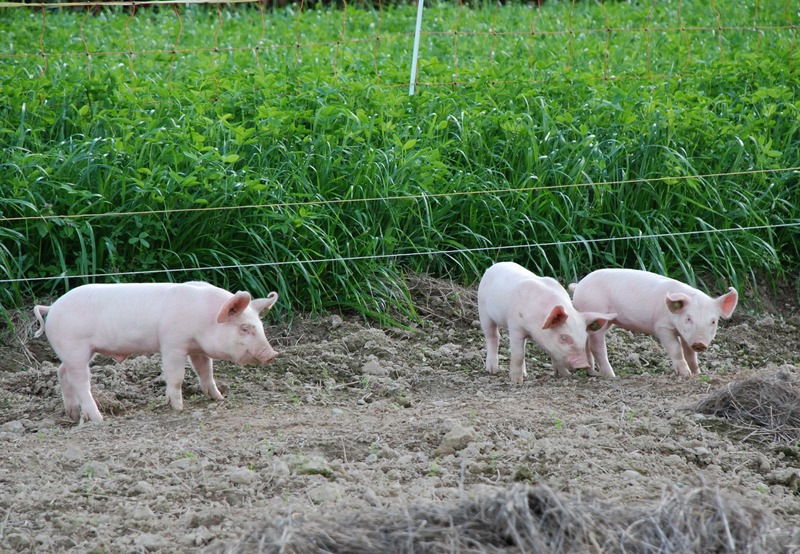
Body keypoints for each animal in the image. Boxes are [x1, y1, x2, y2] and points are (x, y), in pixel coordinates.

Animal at [33, 281, 279, 423]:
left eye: (260, 325)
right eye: (244, 328)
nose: (272, 354)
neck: (205, 318)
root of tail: (52, 308)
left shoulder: (197, 348)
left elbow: (206, 372)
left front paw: (219, 398)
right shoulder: (172, 343)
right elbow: (176, 376)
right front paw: (178, 407)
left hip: (73, 353)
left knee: (62, 373)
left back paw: (74, 415)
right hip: (75, 348)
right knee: (79, 381)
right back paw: (98, 419)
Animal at [477, 262, 616, 384]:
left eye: (585, 337)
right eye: (564, 337)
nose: (583, 364)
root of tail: (494, 266)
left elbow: (553, 355)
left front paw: (564, 375)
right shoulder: (515, 326)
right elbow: (518, 355)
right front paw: (516, 381)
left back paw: (525, 373)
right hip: (483, 309)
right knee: (493, 336)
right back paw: (492, 370)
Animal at [569, 268, 738, 378]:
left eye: (713, 321)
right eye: (688, 318)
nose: (700, 343)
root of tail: (579, 286)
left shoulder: (686, 336)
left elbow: (691, 355)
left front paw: (698, 373)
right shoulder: (662, 327)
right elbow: (676, 350)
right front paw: (685, 374)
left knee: (587, 343)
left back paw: (592, 371)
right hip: (597, 311)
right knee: (596, 346)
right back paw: (612, 376)